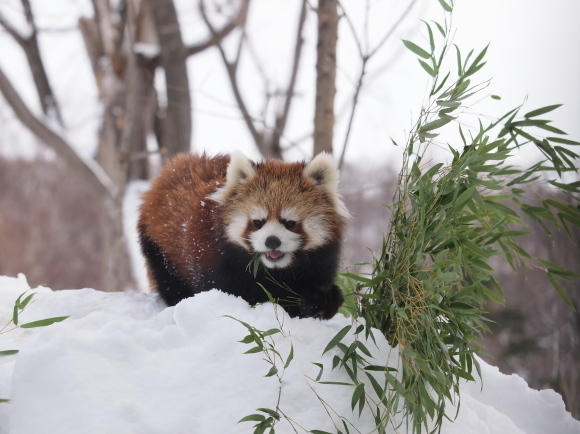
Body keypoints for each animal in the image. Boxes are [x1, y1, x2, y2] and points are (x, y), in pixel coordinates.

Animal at [139, 153, 348, 318]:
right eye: (258, 222)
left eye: (290, 223)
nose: (272, 241)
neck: (274, 270)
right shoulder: (219, 263)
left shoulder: (320, 261)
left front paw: (321, 300)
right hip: (160, 251)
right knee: (171, 284)